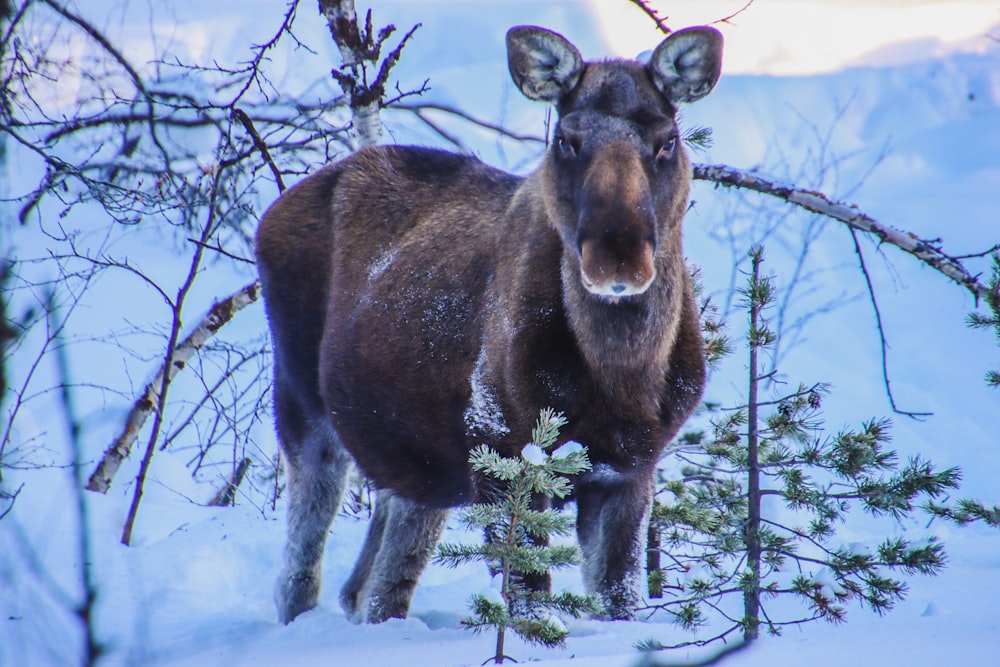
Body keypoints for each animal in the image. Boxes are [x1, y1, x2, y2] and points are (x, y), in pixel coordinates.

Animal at [258, 22, 724, 628]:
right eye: (566, 139)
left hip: (414, 459)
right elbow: (530, 601)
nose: (617, 258)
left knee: (372, 584)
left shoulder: (629, 471)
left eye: (667, 139)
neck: (624, 377)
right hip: (302, 404)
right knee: (300, 569)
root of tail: (275, 211)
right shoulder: (505, 457)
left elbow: (618, 599)